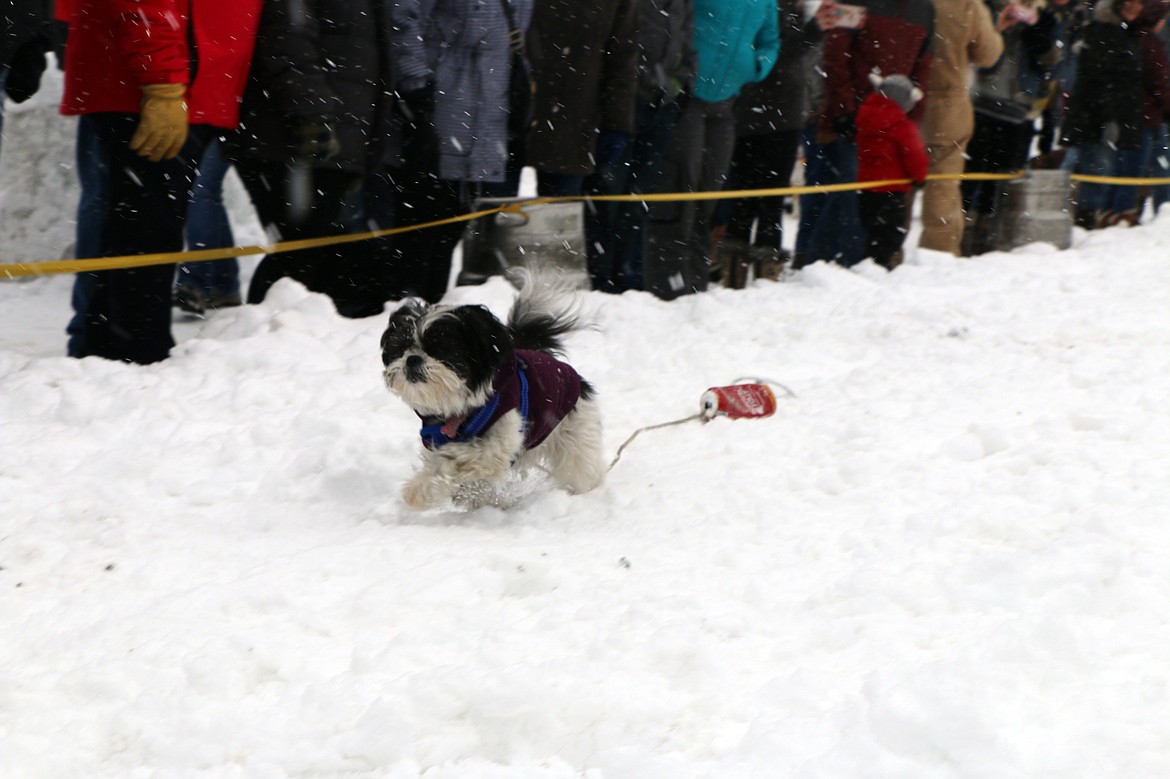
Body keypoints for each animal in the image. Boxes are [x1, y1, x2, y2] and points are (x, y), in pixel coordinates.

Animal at [381, 272, 608, 509]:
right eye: (401, 347)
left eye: (441, 349)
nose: (412, 359)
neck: (461, 411)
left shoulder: (502, 439)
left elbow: (457, 459)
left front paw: (420, 489)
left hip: (576, 436)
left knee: (582, 470)